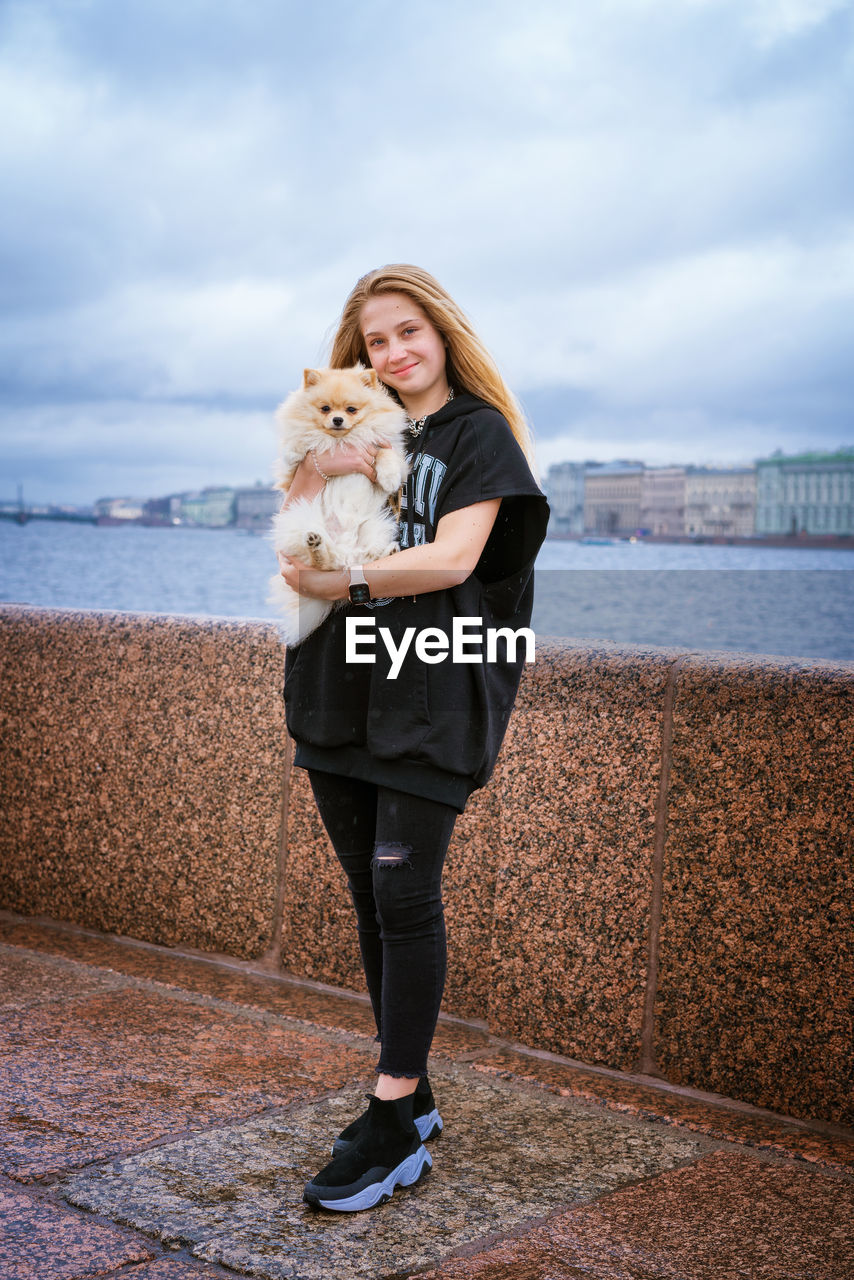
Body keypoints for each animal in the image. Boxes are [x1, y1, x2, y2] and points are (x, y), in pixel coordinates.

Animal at [268, 366, 412, 645]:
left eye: (351, 410)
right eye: (325, 409)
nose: (337, 420)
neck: (342, 440)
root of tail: (342, 545)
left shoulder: (392, 452)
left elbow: (386, 455)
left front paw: (387, 477)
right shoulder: (293, 474)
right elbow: (305, 442)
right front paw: (296, 448)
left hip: (376, 526)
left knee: (355, 559)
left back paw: (385, 553)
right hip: (298, 518)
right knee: (326, 563)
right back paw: (318, 546)